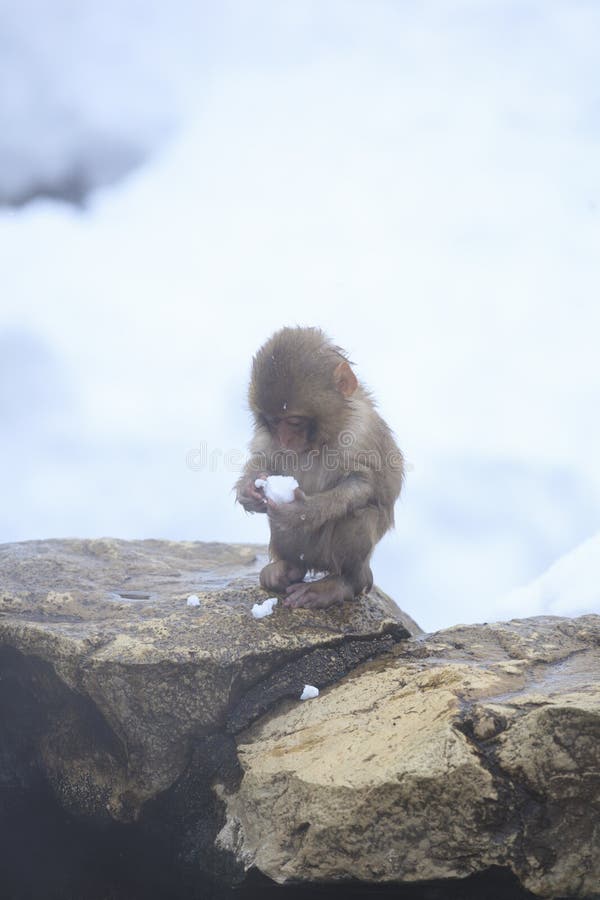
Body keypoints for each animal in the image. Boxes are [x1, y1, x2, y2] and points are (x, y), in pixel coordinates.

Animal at [235, 326, 404, 609]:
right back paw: (286, 569)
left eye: (294, 421)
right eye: (273, 421)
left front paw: (302, 512)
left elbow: (363, 485)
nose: (284, 440)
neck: (320, 440)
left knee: (358, 514)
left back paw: (340, 584)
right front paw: (248, 491)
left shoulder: (360, 433)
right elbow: (263, 459)